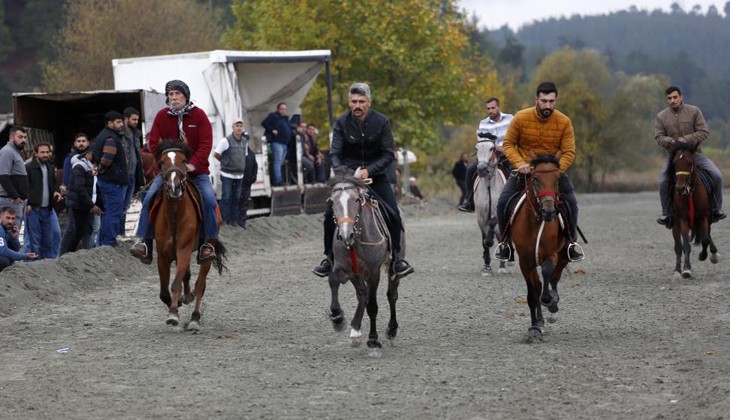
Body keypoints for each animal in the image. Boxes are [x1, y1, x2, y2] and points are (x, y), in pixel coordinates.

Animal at [152, 141, 223, 332]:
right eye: (161, 162)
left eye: (184, 160)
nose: (174, 188)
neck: (175, 214)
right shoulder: (163, 255)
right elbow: (164, 291)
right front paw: (174, 305)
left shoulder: (183, 249)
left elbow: (175, 283)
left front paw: (173, 314)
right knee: (188, 276)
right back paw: (186, 297)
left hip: (207, 252)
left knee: (200, 284)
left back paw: (195, 318)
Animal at [326, 169, 400, 356]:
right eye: (332, 201)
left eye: (356, 199)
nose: (346, 235)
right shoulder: (346, 269)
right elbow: (333, 280)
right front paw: (338, 318)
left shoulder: (374, 273)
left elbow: (373, 306)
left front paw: (373, 340)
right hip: (357, 275)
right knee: (362, 295)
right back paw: (355, 331)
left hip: (393, 268)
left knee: (391, 295)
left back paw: (391, 330)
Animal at [506, 150, 568, 342]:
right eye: (535, 178)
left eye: (557, 178)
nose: (549, 212)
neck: (536, 222)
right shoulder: (525, 261)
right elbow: (533, 293)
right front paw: (535, 328)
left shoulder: (551, 255)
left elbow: (548, 273)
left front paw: (550, 300)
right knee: (539, 284)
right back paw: (541, 320)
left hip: (564, 255)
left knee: (555, 276)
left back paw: (553, 306)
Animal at [668, 148, 712, 278]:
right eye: (674, 163)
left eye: (690, 163)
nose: (680, 188)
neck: (691, 193)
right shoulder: (683, 220)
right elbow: (685, 245)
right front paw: (686, 269)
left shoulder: (704, 218)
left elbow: (706, 239)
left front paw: (703, 255)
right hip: (676, 225)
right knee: (678, 246)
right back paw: (677, 270)